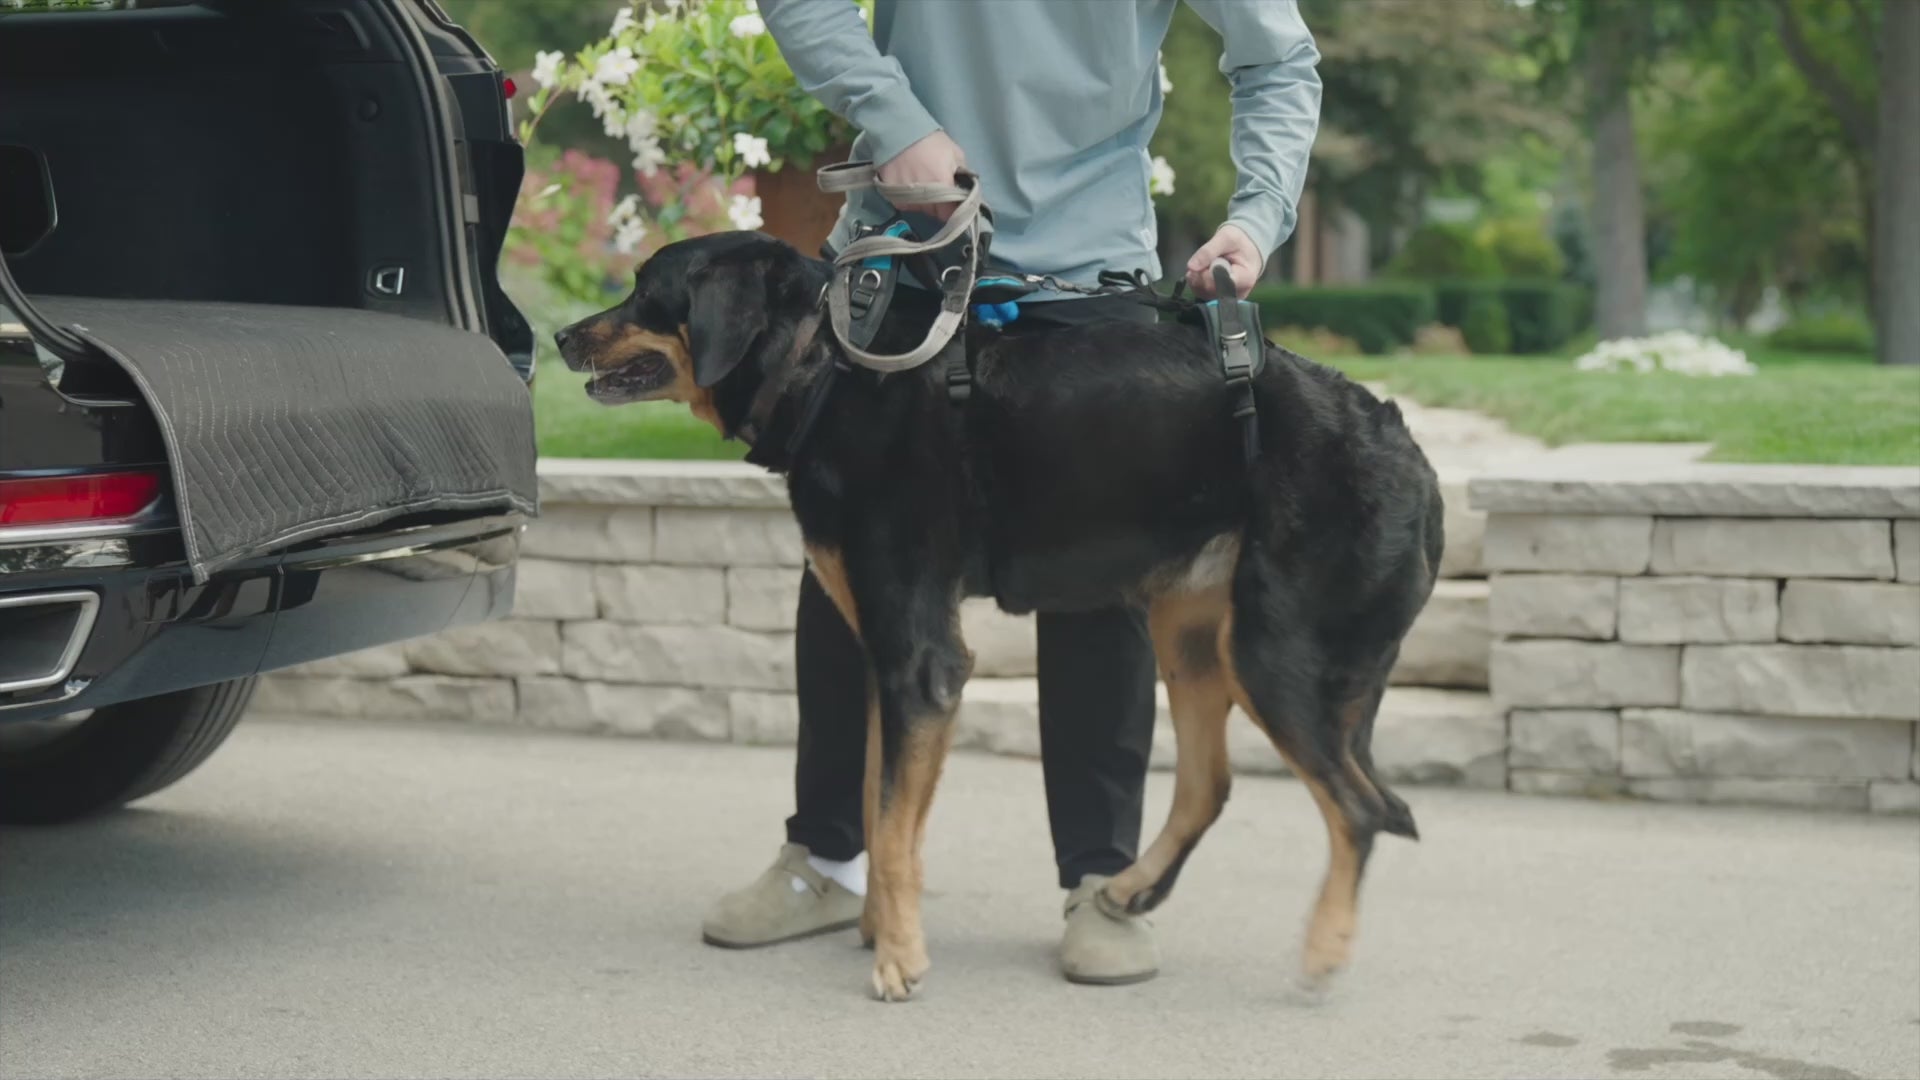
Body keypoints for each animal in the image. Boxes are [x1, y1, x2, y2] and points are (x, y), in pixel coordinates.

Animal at [556, 228, 1443, 999]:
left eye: (646, 290)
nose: (562, 335)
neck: (828, 365)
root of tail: (1407, 447)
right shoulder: (888, 657)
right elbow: (884, 815)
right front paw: (882, 930)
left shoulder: (920, 659)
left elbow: (894, 828)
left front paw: (899, 961)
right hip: (1193, 638)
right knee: (1212, 785)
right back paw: (1126, 893)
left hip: (1273, 655)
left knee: (1362, 809)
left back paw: (1323, 950)